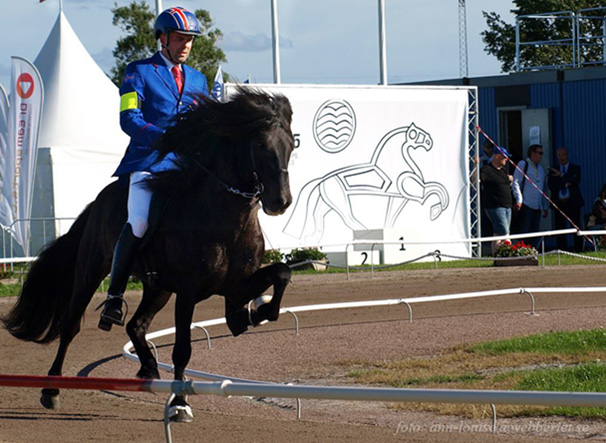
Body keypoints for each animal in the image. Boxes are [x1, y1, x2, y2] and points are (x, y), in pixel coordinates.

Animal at [1, 87, 296, 424]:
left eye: (291, 144)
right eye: (260, 144)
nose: (280, 202)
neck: (225, 217)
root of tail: (99, 201)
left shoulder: (234, 285)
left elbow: (282, 273)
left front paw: (257, 313)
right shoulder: (188, 292)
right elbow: (182, 349)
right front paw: (180, 403)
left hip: (159, 289)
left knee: (136, 326)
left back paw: (149, 368)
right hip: (92, 271)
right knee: (72, 325)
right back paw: (51, 389)